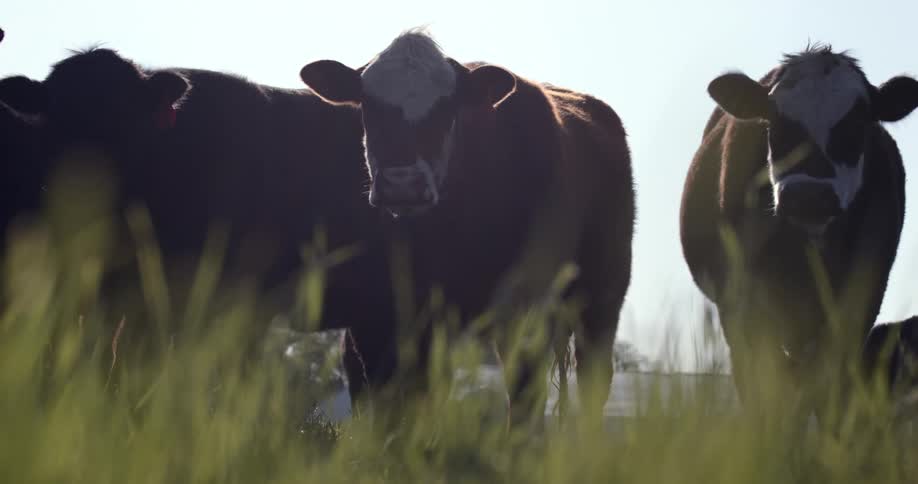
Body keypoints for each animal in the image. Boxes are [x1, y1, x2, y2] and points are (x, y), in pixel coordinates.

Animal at [300, 29, 635, 426]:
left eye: (447, 109)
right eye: (368, 105)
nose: (402, 184)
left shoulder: (523, 305)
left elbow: (525, 395)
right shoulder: (386, 313)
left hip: (603, 295)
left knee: (593, 378)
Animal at [680, 44, 918, 426]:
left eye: (858, 120)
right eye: (775, 121)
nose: (808, 195)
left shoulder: (858, 303)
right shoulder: (745, 304)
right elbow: (768, 393)